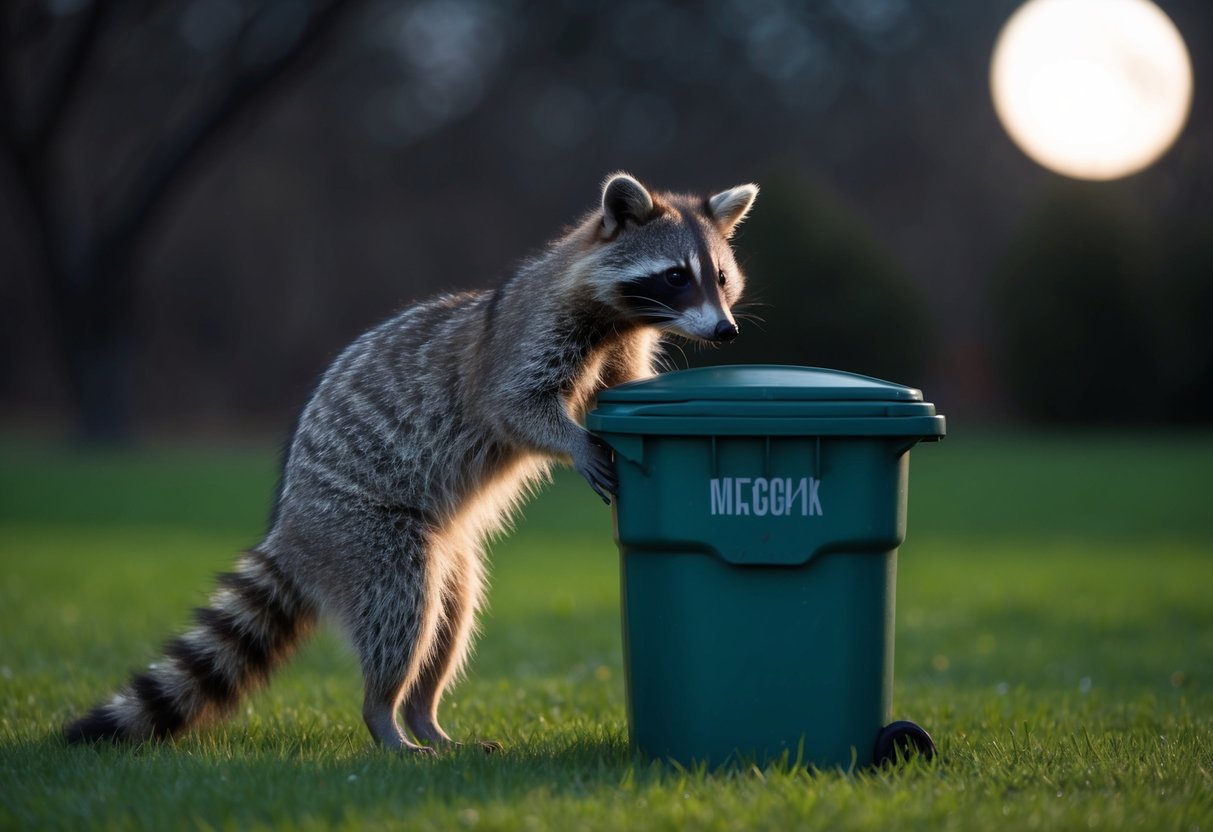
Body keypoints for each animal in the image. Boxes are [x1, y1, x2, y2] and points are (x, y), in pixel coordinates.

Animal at [65, 173, 758, 752]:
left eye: (721, 278)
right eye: (676, 276)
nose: (726, 331)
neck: (619, 316)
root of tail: (290, 527)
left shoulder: (621, 346)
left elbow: (615, 390)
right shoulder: (530, 335)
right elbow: (512, 405)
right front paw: (575, 442)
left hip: (447, 553)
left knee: (448, 624)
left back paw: (424, 713)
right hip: (364, 532)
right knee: (402, 613)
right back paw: (384, 716)